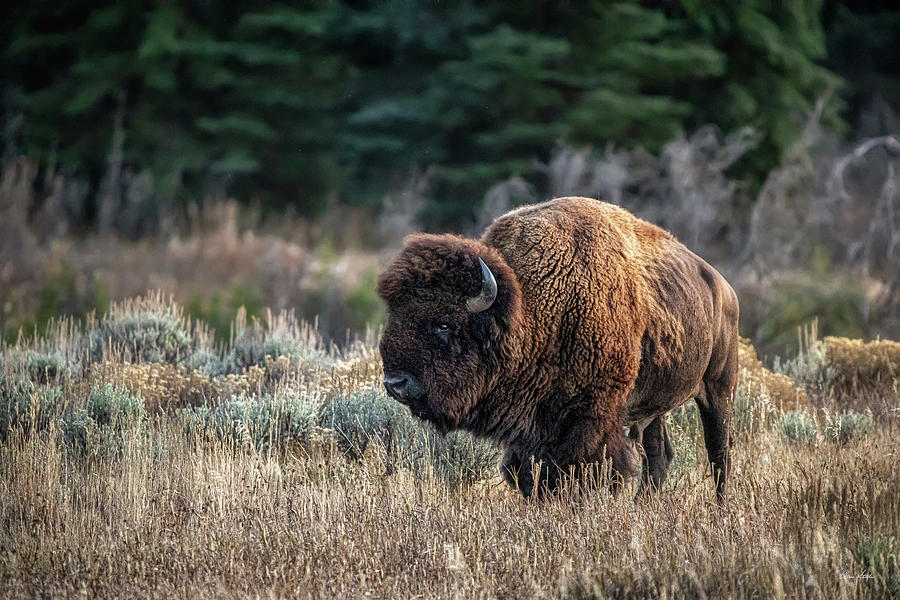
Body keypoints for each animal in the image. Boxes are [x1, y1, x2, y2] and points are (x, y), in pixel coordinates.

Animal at [376, 198, 736, 502]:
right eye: (395, 314)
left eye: (445, 324)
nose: (395, 384)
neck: (531, 307)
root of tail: (722, 287)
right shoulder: (531, 427)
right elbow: (530, 473)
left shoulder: (592, 416)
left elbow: (585, 469)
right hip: (654, 406)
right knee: (659, 456)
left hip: (718, 389)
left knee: (719, 453)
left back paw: (719, 507)